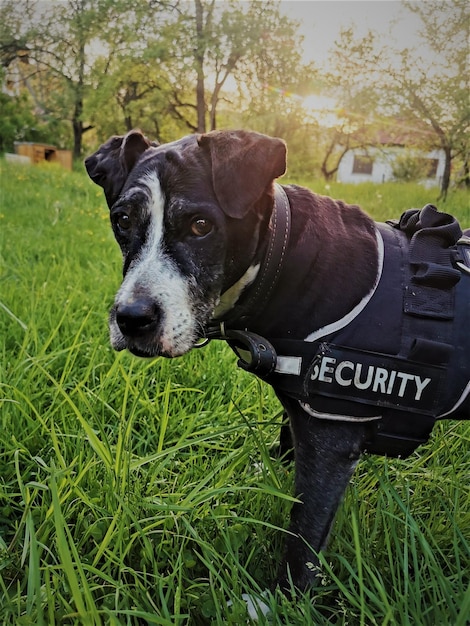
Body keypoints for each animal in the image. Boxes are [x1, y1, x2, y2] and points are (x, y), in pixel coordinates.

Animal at [85, 128, 470, 588]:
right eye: (122, 220)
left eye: (201, 225)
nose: (131, 319)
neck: (284, 259)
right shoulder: (300, 407)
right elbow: (287, 446)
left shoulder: (331, 438)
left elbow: (304, 536)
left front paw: (283, 596)